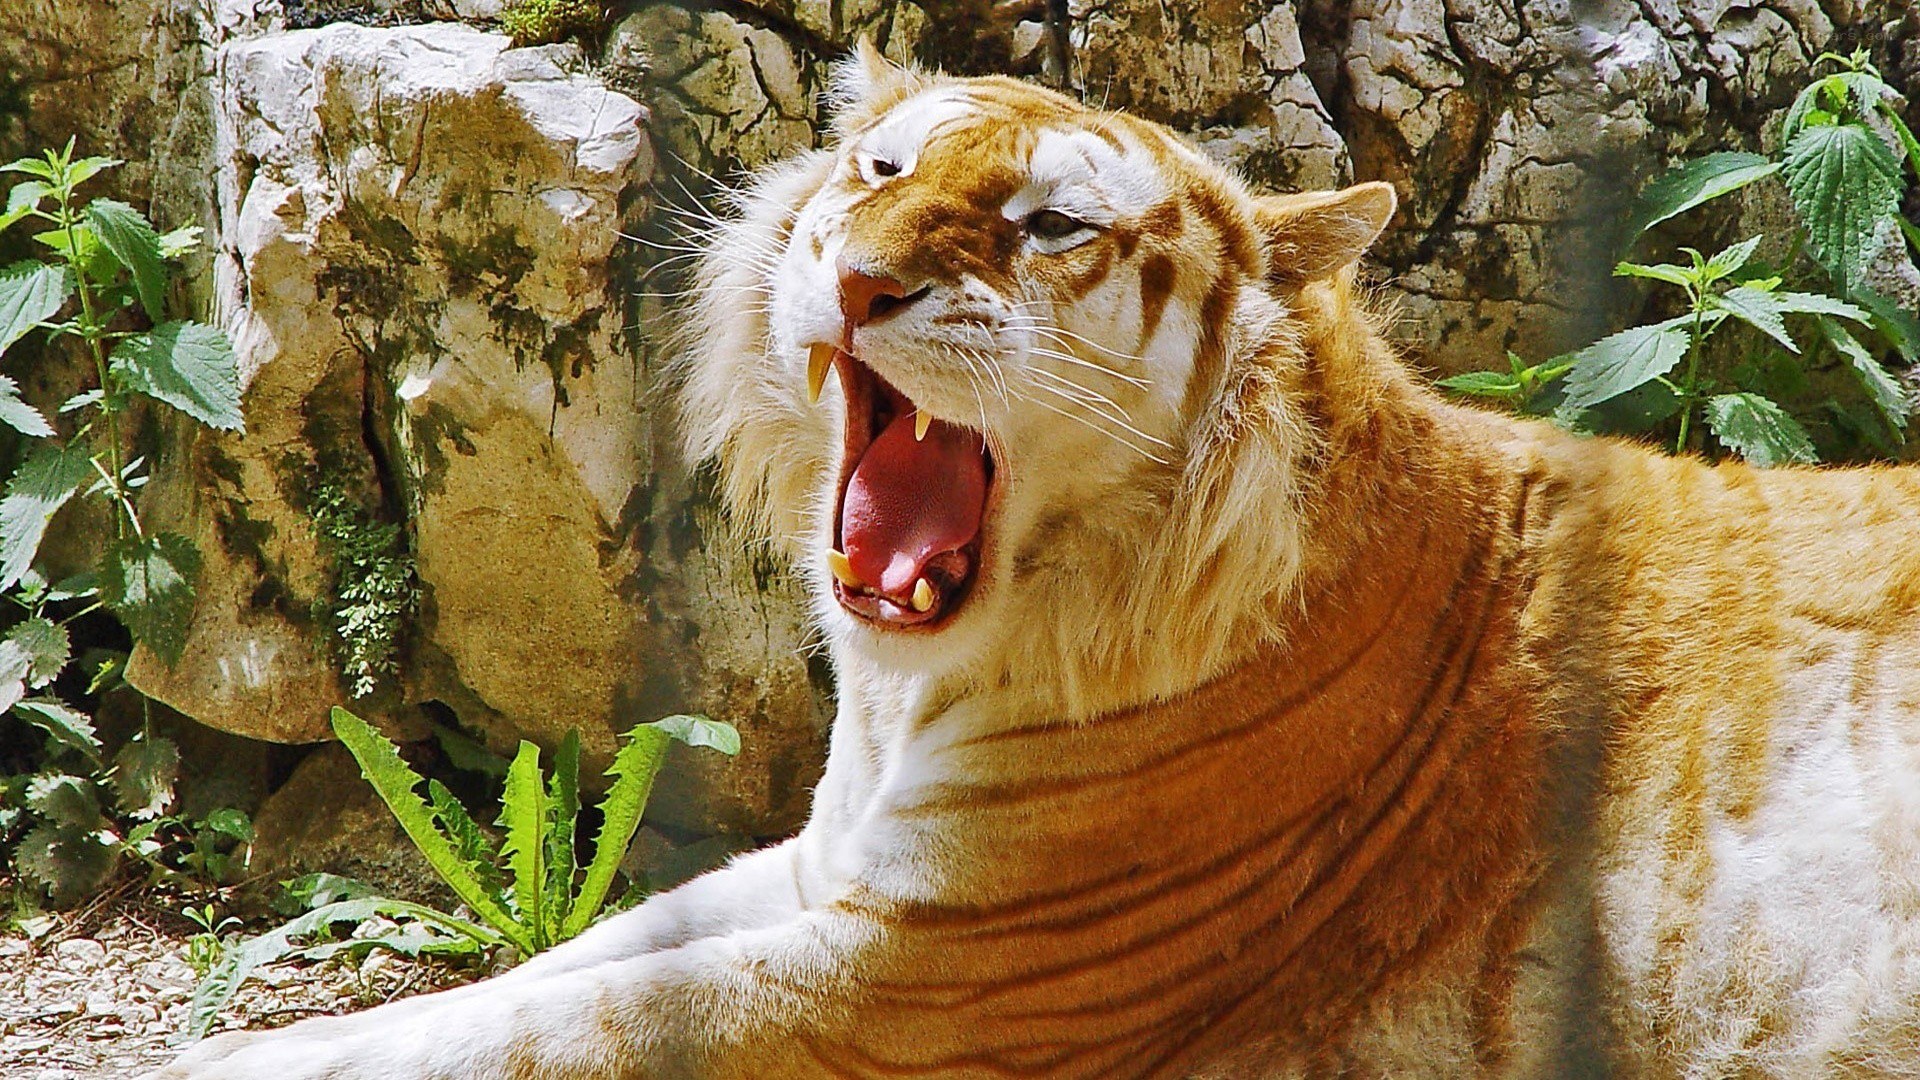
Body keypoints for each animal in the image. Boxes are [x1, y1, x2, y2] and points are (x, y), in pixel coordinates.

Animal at [153, 41, 1920, 1080]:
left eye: (1050, 227)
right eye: (879, 174)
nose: (859, 278)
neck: (914, 687)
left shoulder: (930, 972)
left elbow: (543, 1028)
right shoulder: (833, 873)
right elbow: (552, 972)